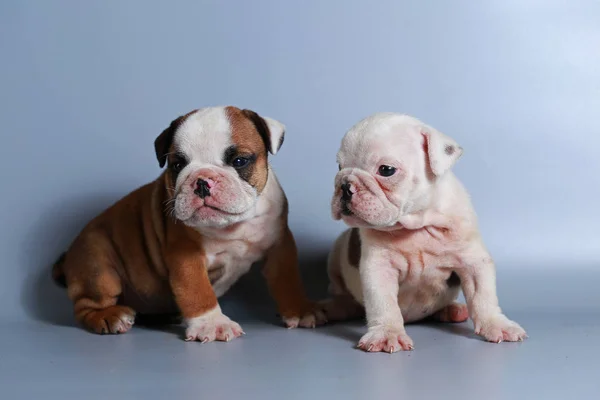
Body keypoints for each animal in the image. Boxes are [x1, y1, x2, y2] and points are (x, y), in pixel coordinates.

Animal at [52, 105, 326, 340]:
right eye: (177, 165)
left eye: (239, 161)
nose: (202, 181)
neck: (231, 225)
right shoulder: (186, 255)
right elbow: (197, 290)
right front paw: (212, 324)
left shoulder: (280, 246)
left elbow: (288, 280)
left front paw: (300, 309)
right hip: (97, 264)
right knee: (86, 305)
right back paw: (109, 317)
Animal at [326, 112, 528, 354]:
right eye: (339, 166)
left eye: (386, 170)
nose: (345, 185)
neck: (417, 225)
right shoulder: (379, 267)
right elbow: (383, 302)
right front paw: (387, 334)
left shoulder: (473, 260)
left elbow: (483, 295)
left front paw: (496, 324)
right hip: (335, 256)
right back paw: (331, 308)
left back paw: (452, 310)